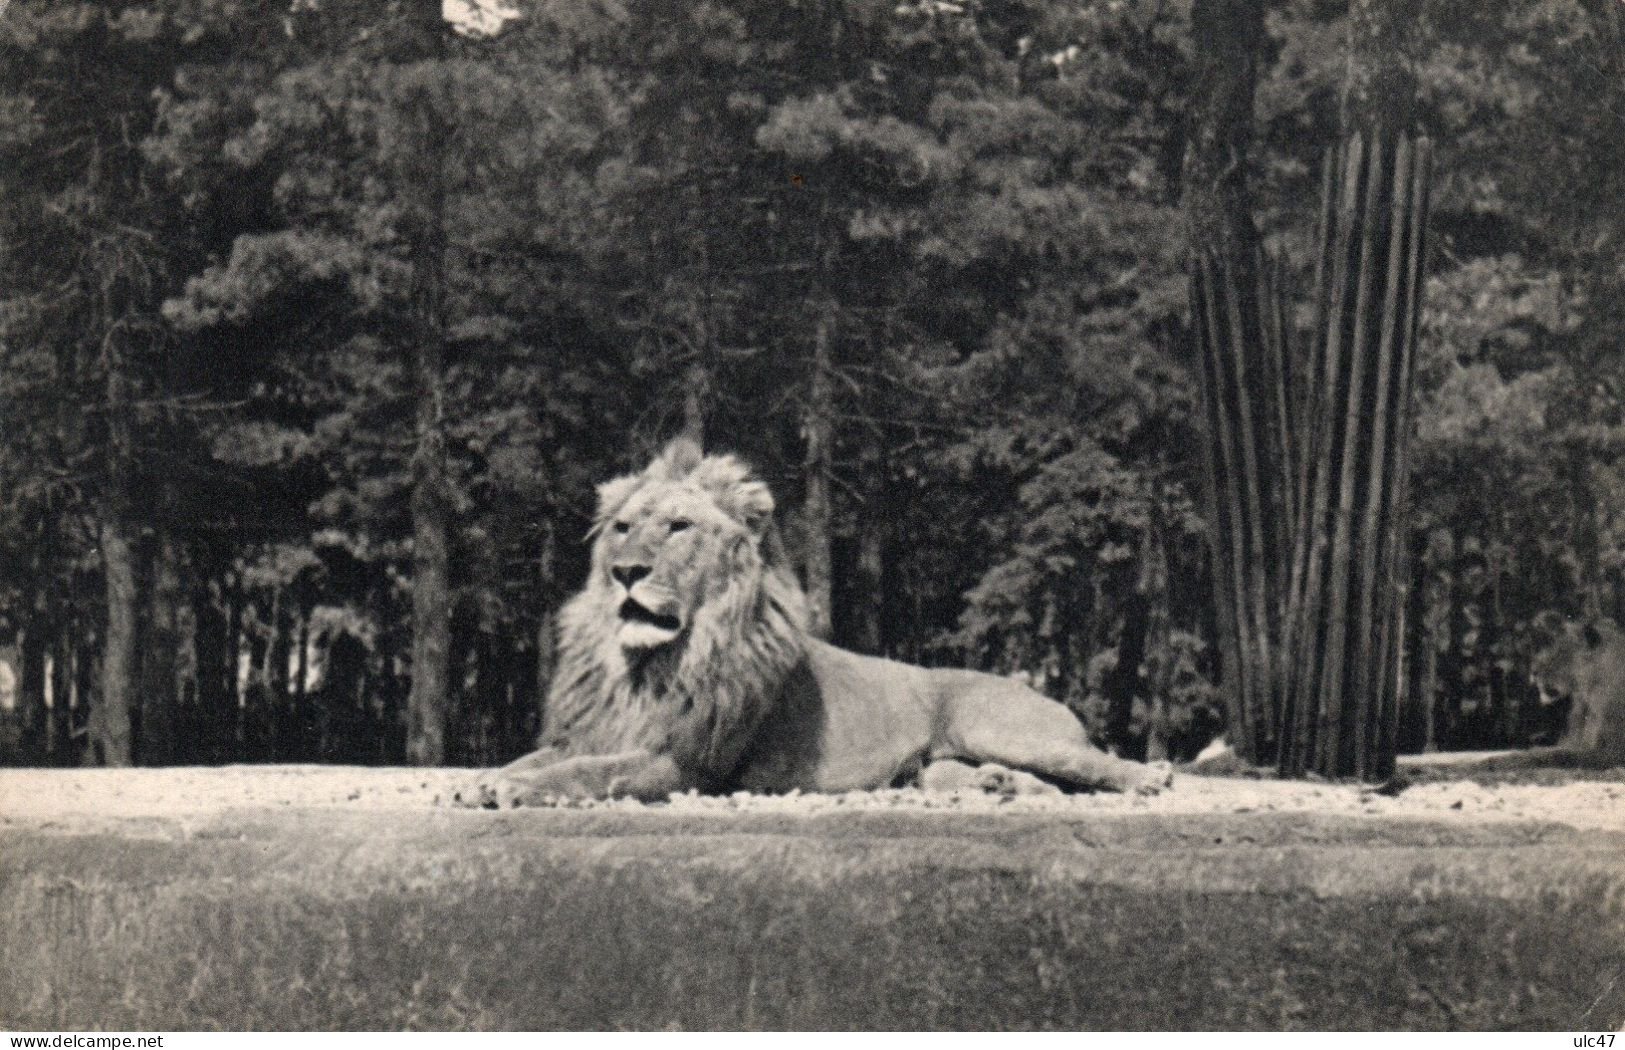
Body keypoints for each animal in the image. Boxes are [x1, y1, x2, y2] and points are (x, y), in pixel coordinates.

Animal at [464, 438, 1176, 809]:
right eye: (621, 527)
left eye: (678, 526)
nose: (625, 572)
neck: (650, 665)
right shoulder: (593, 733)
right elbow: (537, 759)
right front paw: (489, 781)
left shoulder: (690, 764)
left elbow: (587, 774)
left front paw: (508, 790)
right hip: (939, 765)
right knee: (1043, 784)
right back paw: (997, 785)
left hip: (999, 725)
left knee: (1093, 764)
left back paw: (1150, 777)